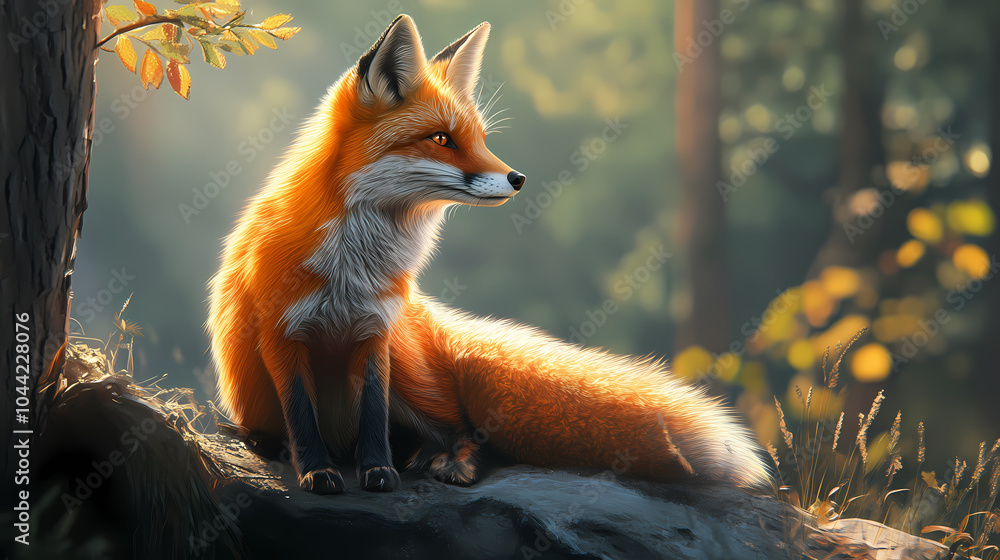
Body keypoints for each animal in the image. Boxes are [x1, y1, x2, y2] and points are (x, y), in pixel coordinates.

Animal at [208, 14, 771, 494]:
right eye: (441, 139)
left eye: (479, 139)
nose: (518, 179)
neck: (354, 270)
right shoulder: (282, 334)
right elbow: (301, 416)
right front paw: (318, 471)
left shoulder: (376, 334)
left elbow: (374, 417)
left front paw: (377, 471)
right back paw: (278, 443)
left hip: (410, 371)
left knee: (467, 430)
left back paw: (444, 462)